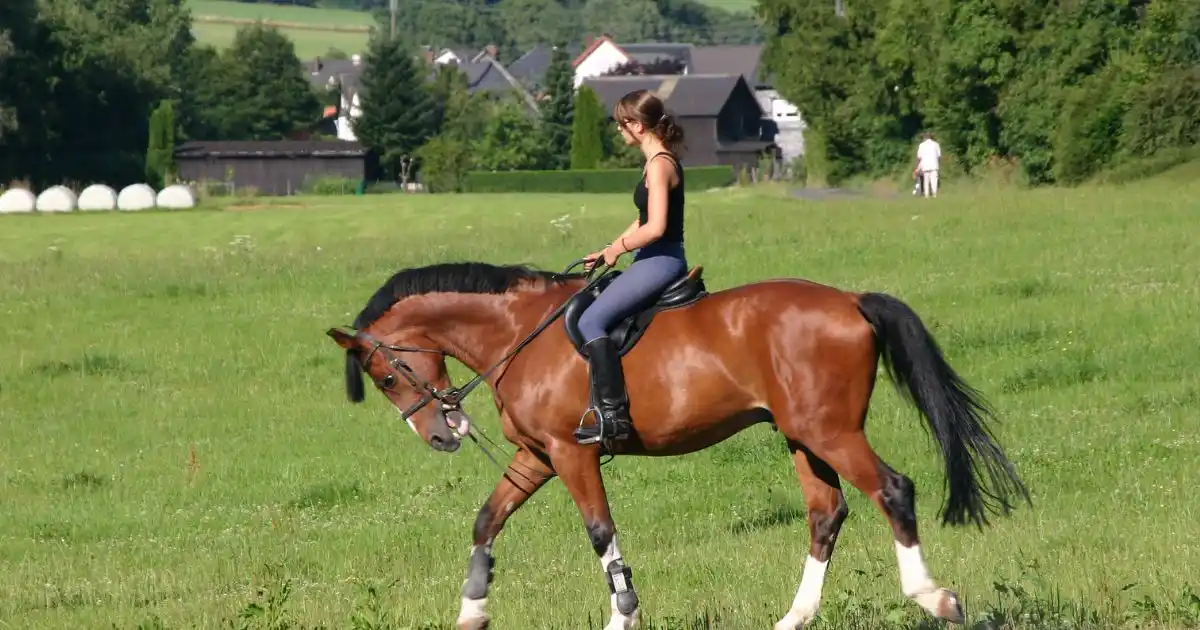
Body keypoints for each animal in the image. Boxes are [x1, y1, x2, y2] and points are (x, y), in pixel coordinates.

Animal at [325, 259, 1031, 630]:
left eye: (386, 377)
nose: (442, 436)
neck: (519, 332)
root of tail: (851, 301)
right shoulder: (537, 456)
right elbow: (486, 519)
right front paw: (472, 611)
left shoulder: (572, 453)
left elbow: (601, 535)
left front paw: (624, 615)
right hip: (802, 437)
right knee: (826, 514)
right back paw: (792, 619)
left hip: (830, 432)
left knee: (892, 490)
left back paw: (935, 597)